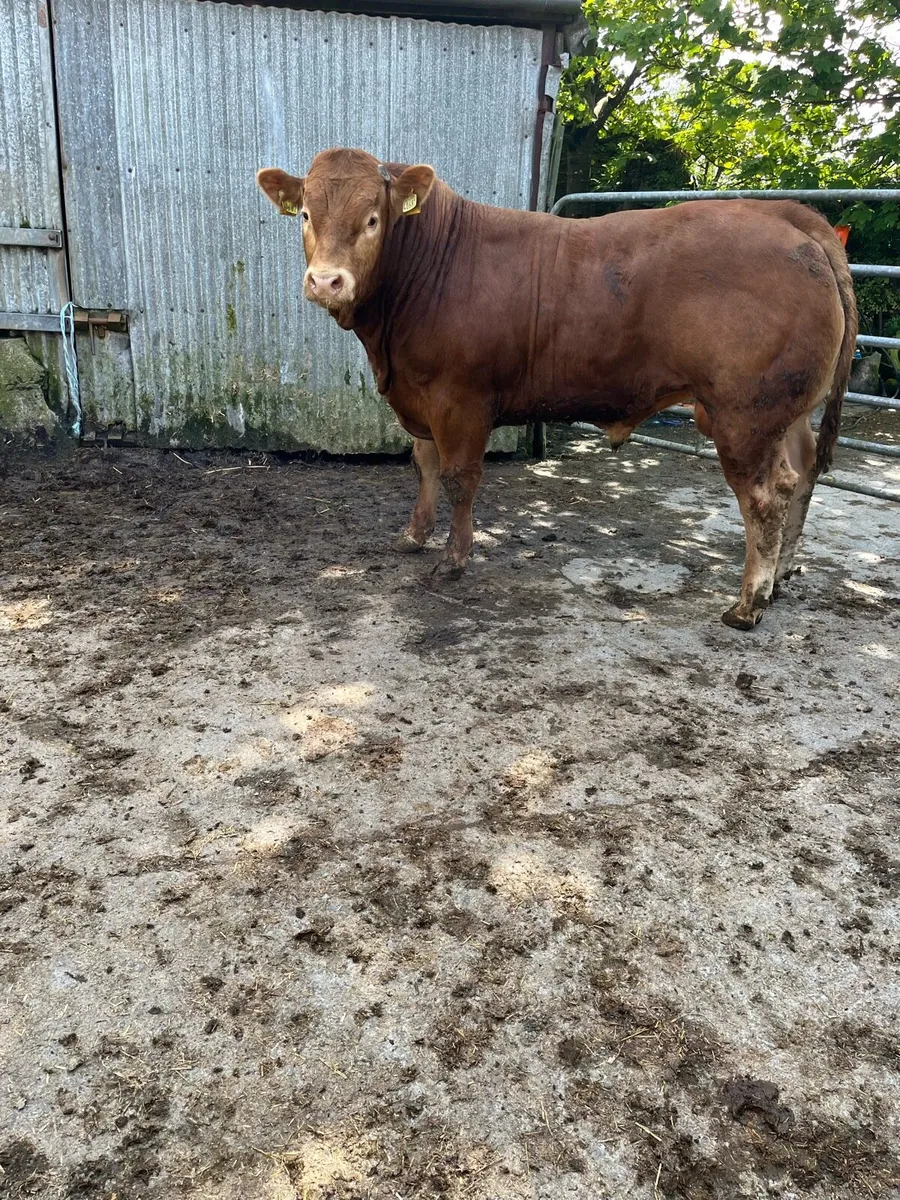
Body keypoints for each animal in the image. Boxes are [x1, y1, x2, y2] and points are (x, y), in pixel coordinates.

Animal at [256, 148, 857, 629]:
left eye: (374, 219)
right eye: (305, 214)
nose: (326, 281)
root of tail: (784, 216)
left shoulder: (460, 400)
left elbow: (459, 479)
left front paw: (454, 559)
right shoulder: (420, 395)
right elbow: (424, 467)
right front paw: (413, 534)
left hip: (744, 416)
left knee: (764, 497)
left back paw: (749, 603)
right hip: (787, 413)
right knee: (801, 477)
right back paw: (780, 578)